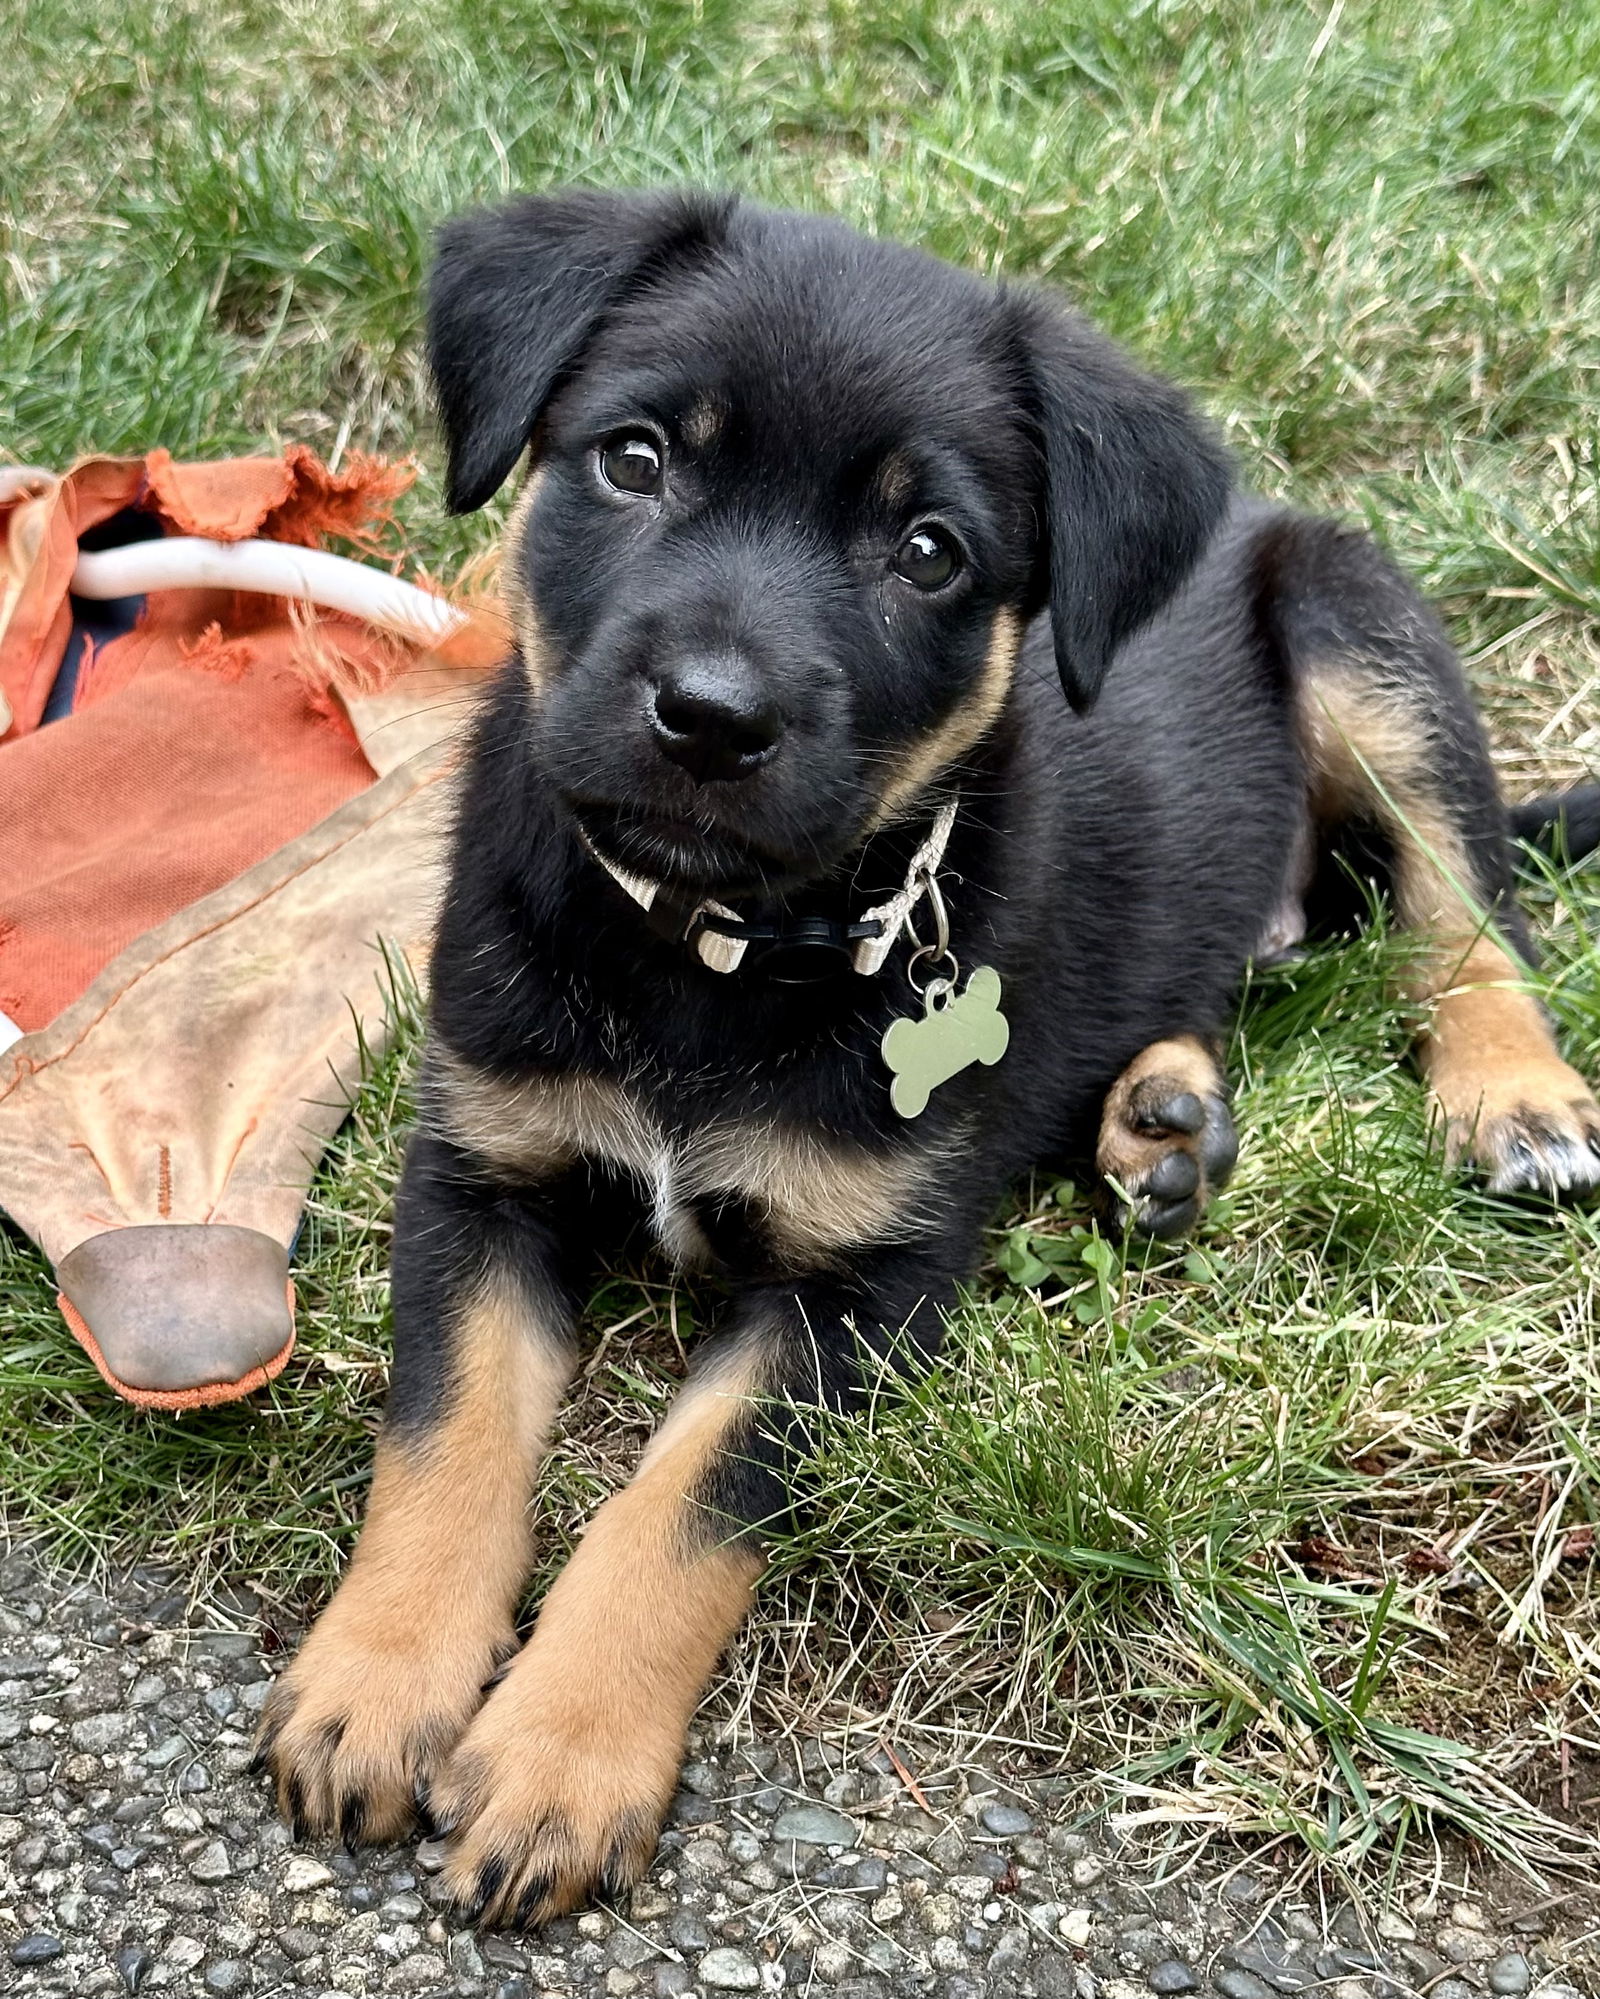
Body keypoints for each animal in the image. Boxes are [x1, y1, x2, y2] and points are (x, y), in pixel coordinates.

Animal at [260, 187, 1600, 1919]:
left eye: (927, 550)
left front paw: (558, 1754)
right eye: (635, 459)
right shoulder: (481, 1166)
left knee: (1465, 910)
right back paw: (1163, 1118)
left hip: (1364, 645)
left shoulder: (866, 1286)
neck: (716, 943)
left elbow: (683, 1505)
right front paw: (380, 1678)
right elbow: (445, 1432)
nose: (709, 715)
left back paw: (1512, 1093)